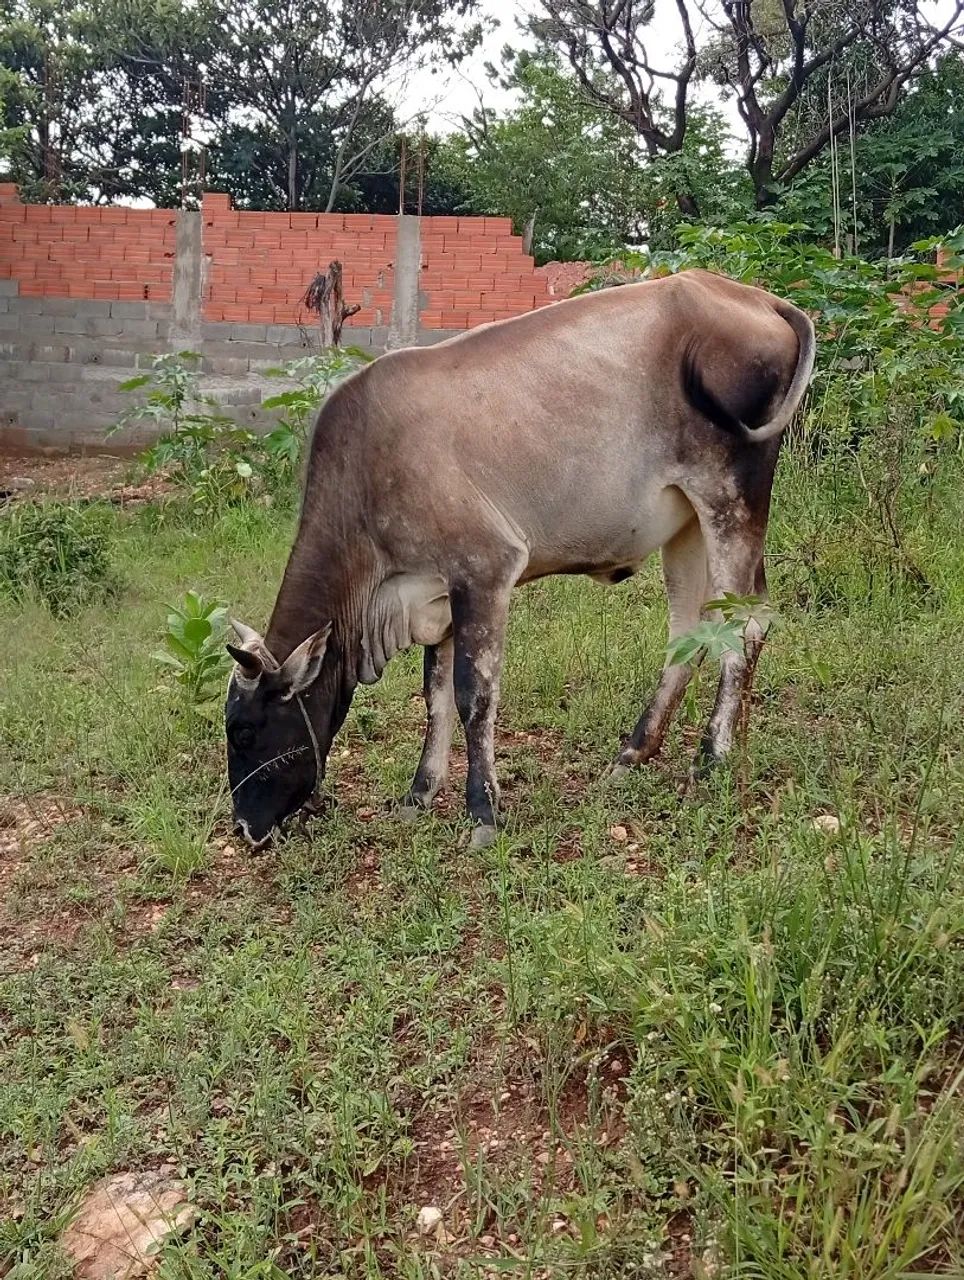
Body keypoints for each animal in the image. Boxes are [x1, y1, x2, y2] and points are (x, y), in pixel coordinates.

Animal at [225, 268, 815, 850]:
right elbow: (435, 698)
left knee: (742, 627)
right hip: (687, 523)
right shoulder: (438, 593)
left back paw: (712, 759)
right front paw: (418, 796)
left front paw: (483, 812)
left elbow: (473, 694)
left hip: (731, 498)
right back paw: (639, 754)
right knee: (695, 630)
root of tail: (759, 299)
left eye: (245, 729)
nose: (244, 828)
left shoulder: (484, 568)